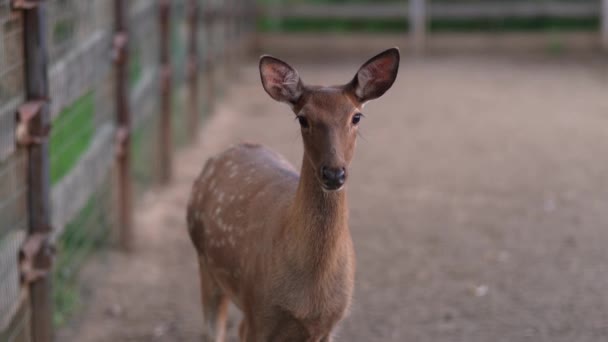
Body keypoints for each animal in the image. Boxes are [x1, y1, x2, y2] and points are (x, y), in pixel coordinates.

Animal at [188, 48, 402, 342]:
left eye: (356, 116)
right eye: (303, 118)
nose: (333, 173)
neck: (309, 298)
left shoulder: (330, 323)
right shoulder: (257, 315)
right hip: (207, 266)